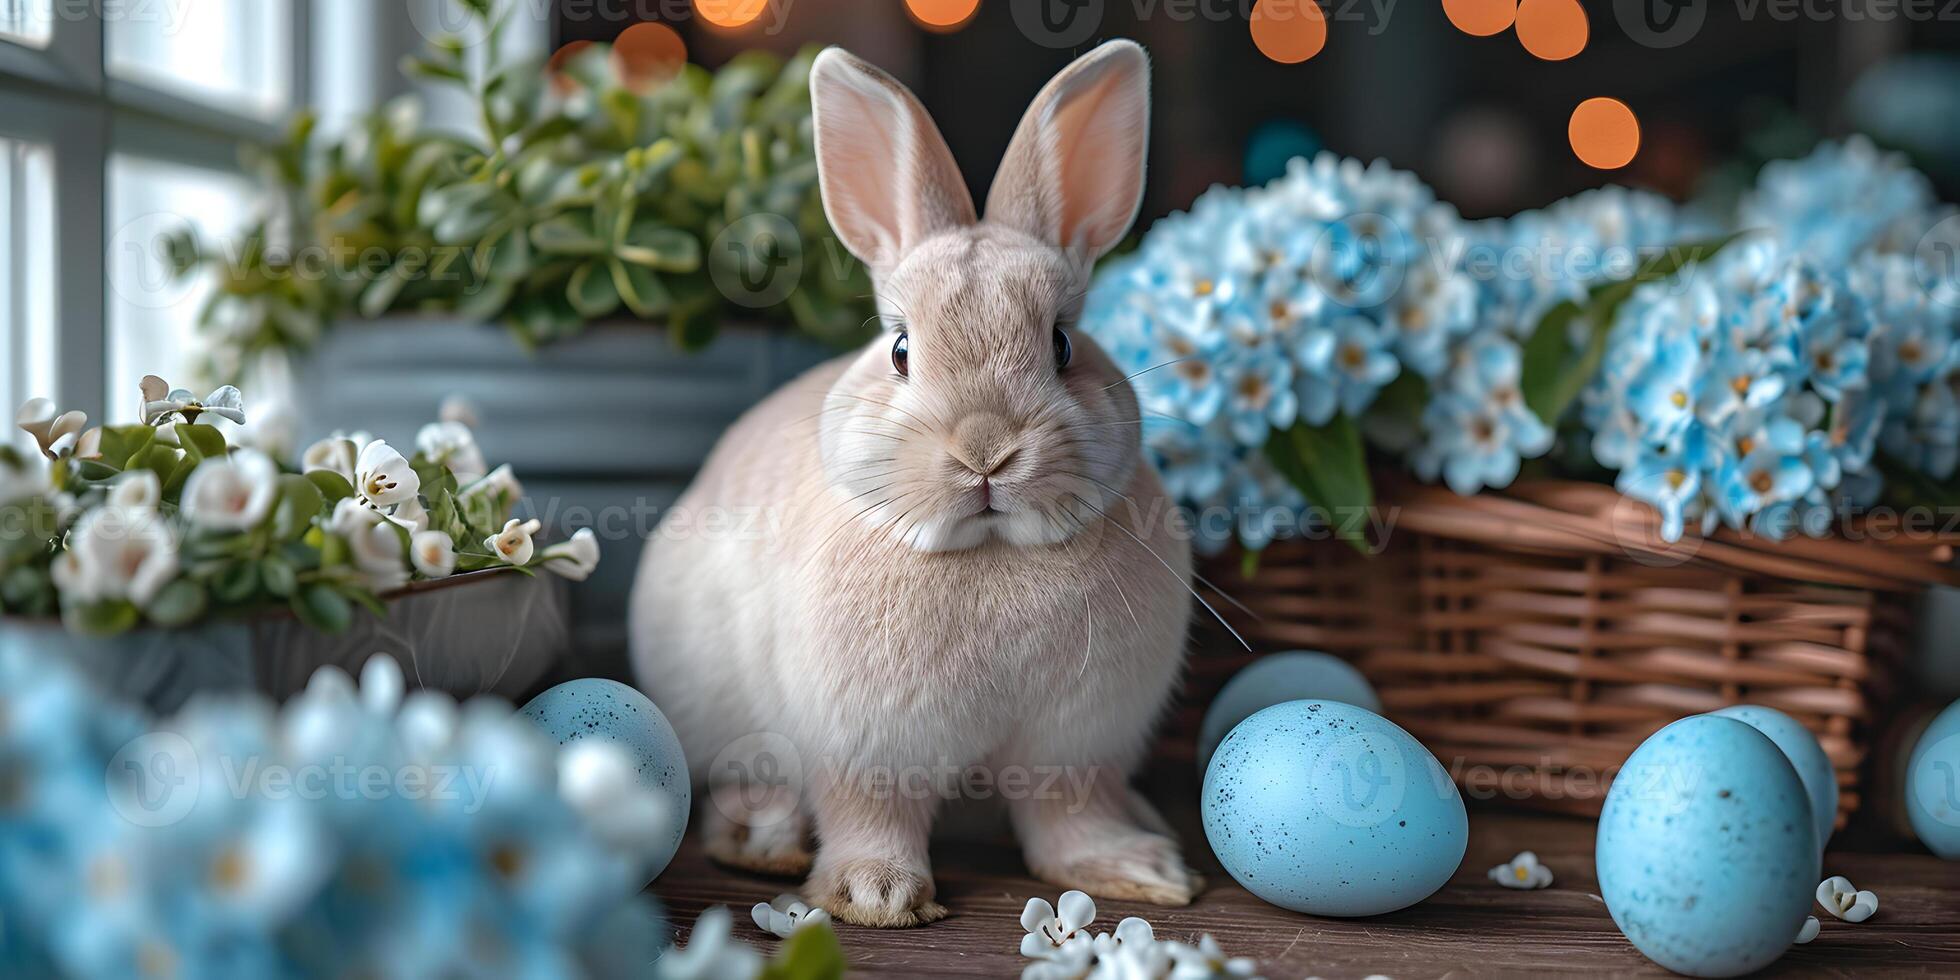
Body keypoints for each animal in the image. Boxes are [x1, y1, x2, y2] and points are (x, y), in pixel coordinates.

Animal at [635, 38, 1199, 925]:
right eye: (901, 349)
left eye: (1064, 345)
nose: (985, 452)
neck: (993, 552)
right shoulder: (863, 748)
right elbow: (870, 813)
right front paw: (877, 894)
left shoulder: (1078, 748)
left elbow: (1070, 817)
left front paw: (1136, 873)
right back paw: (765, 841)